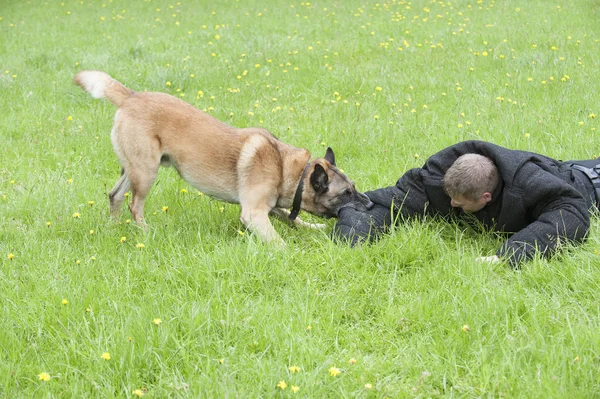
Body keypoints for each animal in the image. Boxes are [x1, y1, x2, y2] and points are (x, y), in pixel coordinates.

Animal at [73, 71, 372, 244]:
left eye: (354, 187)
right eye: (345, 193)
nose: (370, 205)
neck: (286, 168)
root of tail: (131, 97)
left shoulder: (270, 207)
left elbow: (294, 218)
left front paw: (314, 228)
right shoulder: (254, 214)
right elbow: (278, 242)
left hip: (133, 168)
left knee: (115, 196)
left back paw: (115, 229)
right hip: (146, 172)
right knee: (135, 206)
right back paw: (146, 234)